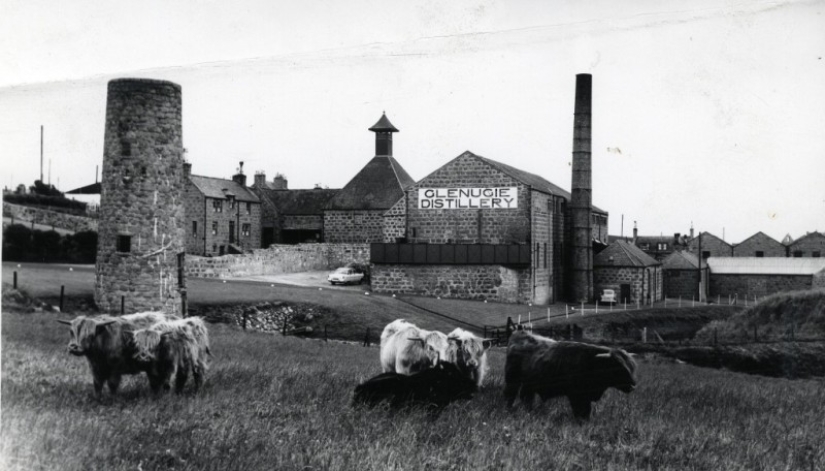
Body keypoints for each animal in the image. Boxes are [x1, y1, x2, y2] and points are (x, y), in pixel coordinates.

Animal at [502, 332, 636, 420]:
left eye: (631, 368)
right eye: (619, 369)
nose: (633, 385)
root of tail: (520, 334)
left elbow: (586, 410)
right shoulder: (576, 395)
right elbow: (581, 410)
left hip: (529, 384)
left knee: (526, 397)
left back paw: (529, 411)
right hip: (512, 380)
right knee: (510, 395)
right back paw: (509, 410)